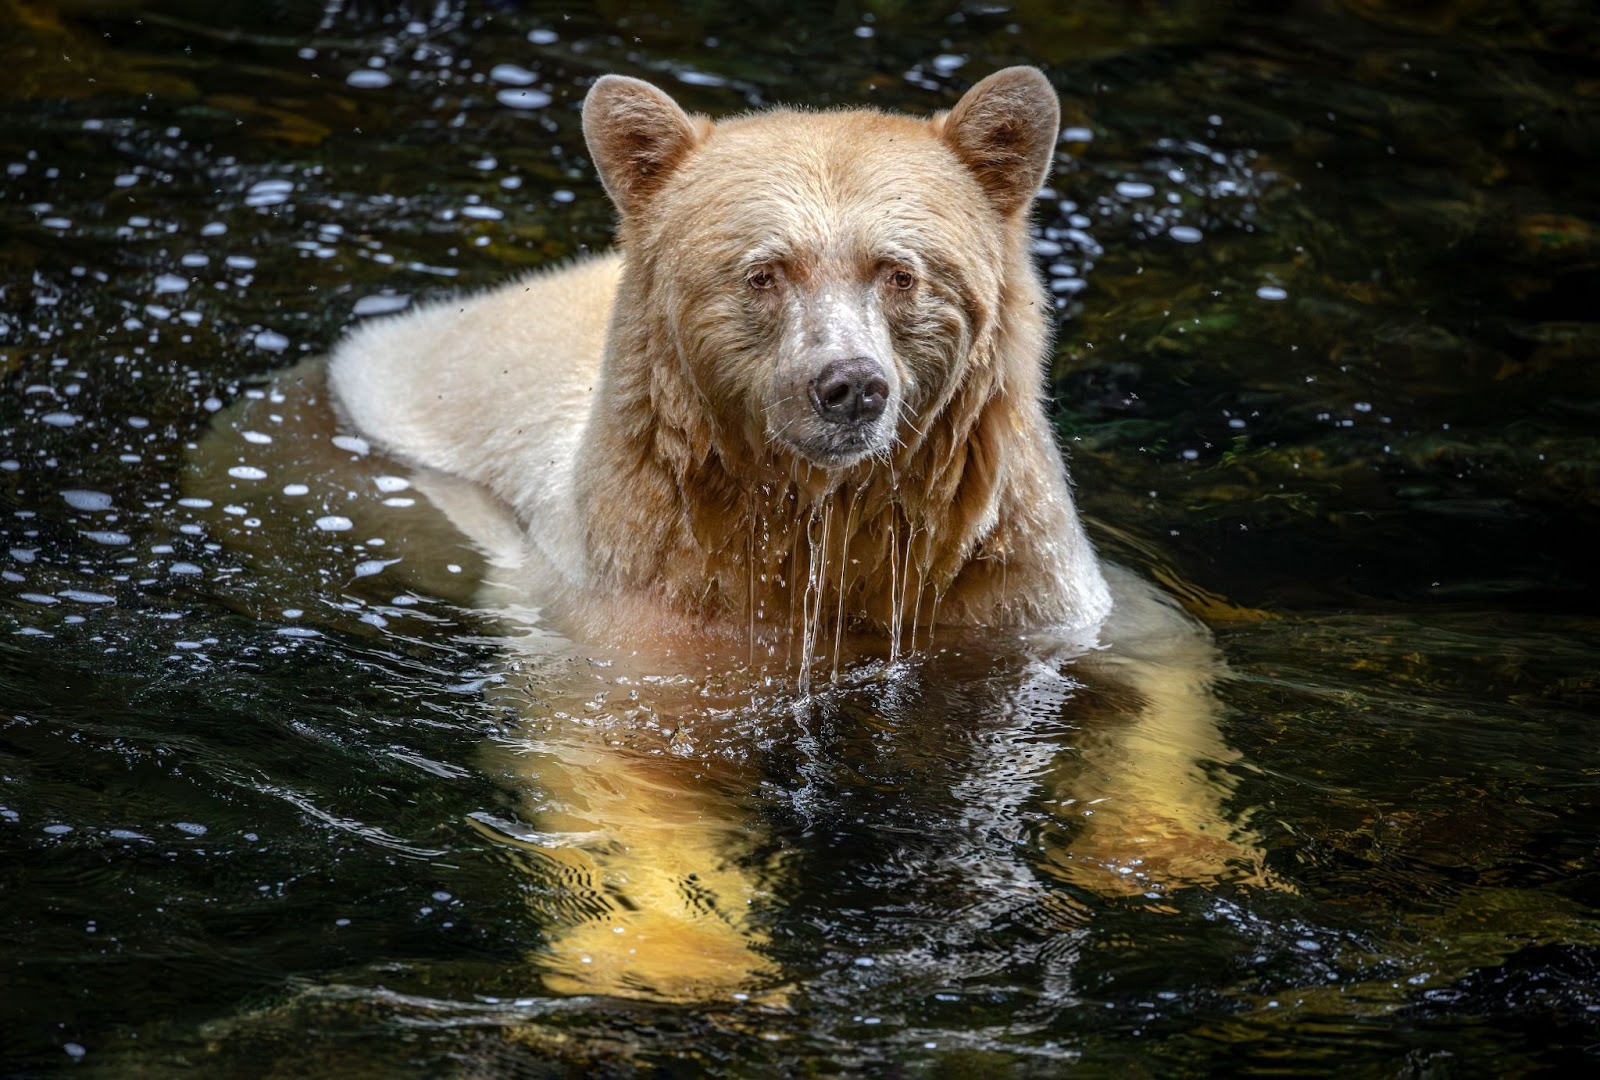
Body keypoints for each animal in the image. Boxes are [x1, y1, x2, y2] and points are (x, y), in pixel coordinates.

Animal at [184, 68, 1272, 1004]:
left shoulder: (1009, 579)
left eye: (899, 271)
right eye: (764, 272)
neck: (827, 526)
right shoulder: (646, 605)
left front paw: (1163, 854)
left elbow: (1152, 663)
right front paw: (673, 955)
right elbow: (622, 772)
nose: (847, 385)